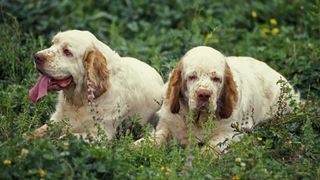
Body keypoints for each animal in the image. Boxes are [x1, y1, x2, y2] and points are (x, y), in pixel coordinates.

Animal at [26, 29, 162, 139]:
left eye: (67, 52)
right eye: (52, 43)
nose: (37, 57)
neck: (80, 101)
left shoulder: (100, 135)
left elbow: (66, 137)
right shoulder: (56, 119)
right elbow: (36, 132)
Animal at [135, 45, 300, 154]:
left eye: (216, 79)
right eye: (192, 76)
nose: (204, 94)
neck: (198, 120)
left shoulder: (232, 133)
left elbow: (211, 147)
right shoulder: (166, 126)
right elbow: (155, 138)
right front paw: (135, 147)